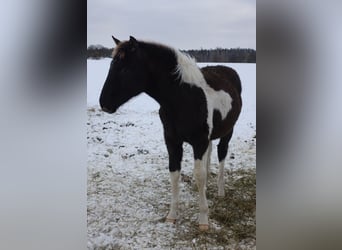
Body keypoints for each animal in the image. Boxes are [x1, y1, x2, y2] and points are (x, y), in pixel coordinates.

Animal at [99, 35, 243, 230]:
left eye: (125, 69)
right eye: (111, 65)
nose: (104, 104)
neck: (183, 98)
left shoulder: (199, 141)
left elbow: (199, 175)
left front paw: (203, 219)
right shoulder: (172, 141)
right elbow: (175, 174)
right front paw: (172, 216)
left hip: (227, 132)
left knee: (222, 154)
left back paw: (221, 191)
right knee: (211, 153)